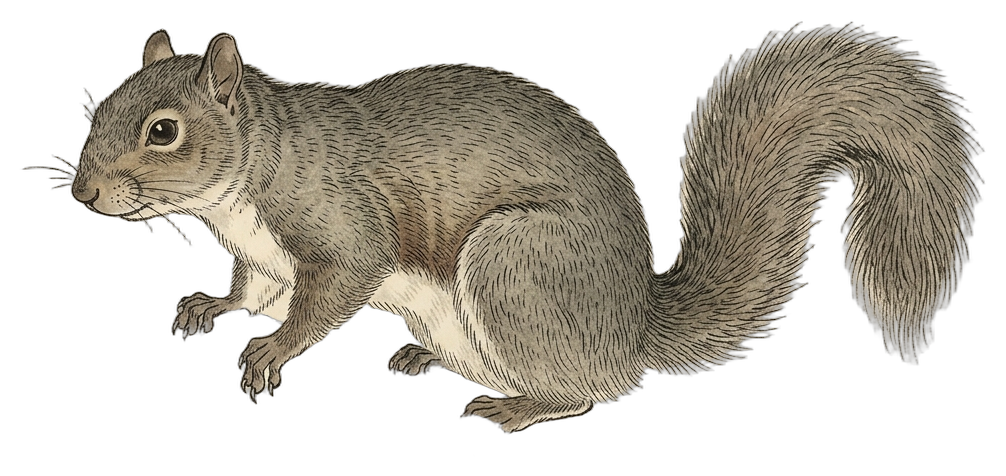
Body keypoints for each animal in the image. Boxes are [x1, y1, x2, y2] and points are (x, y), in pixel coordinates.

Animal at [56, 26, 979, 432]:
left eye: (163, 131)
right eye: (97, 110)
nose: (87, 194)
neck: (241, 188)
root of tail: (632, 325)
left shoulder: (339, 231)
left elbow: (326, 298)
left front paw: (269, 355)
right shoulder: (262, 259)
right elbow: (253, 291)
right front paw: (211, 307)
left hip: (513, 265)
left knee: (598, 389)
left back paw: (521, 408)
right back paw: (429, 360)